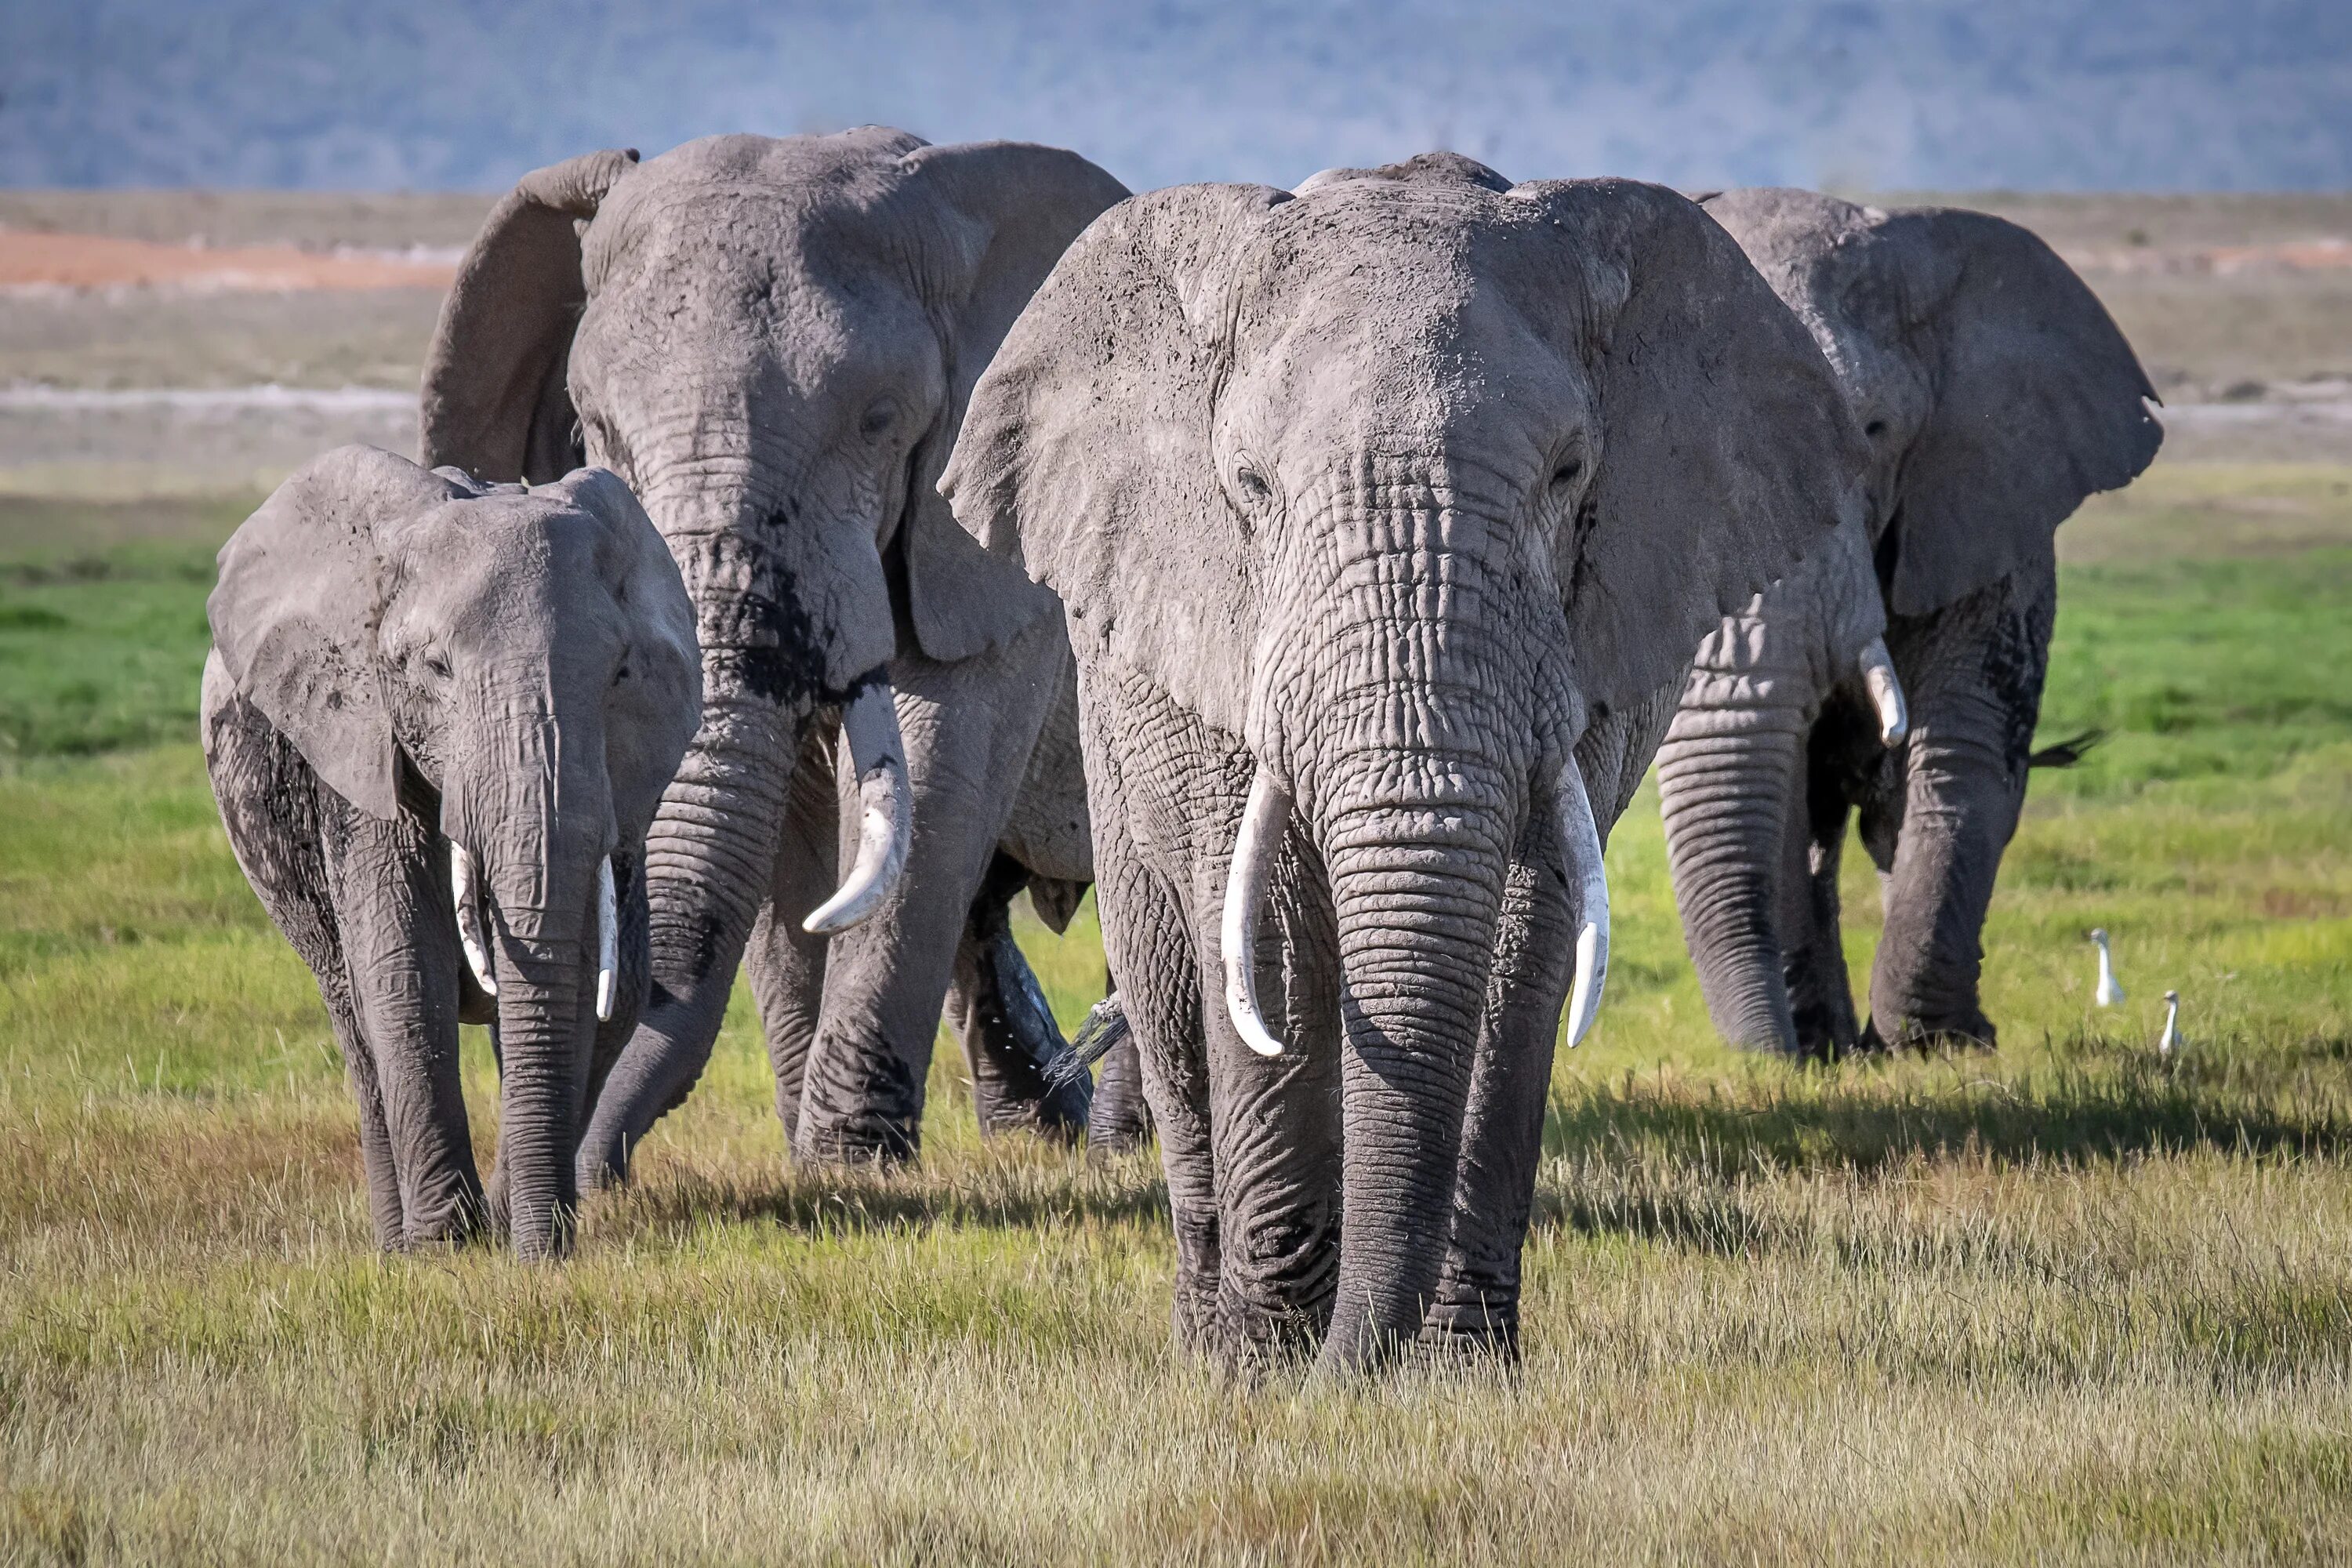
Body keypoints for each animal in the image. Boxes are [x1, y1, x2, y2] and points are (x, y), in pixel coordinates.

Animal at [419, 129, 1124, 1175]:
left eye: (880, 420)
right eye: (597, 427)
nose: (594, 1179)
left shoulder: (999, 560)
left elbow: (938, 777)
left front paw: (849, 1165)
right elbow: (785, 833)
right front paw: (824, 1163)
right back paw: (1049, 1133)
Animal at [936, 152, 1872, 1363]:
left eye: (1569, 473)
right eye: (1250, 486)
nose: (1353, 1366)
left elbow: (1526, 935)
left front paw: (1456, 1370)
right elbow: (1267, 935)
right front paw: (1274, 1372)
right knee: (1174, 999)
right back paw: (1210, 1341)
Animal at [1646, 190, 2154, 1062]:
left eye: (1875, 433)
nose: (1771, 1058)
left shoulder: (1987, 510)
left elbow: (1959, 748)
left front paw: (1936, 1046)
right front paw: (1826, 1051)